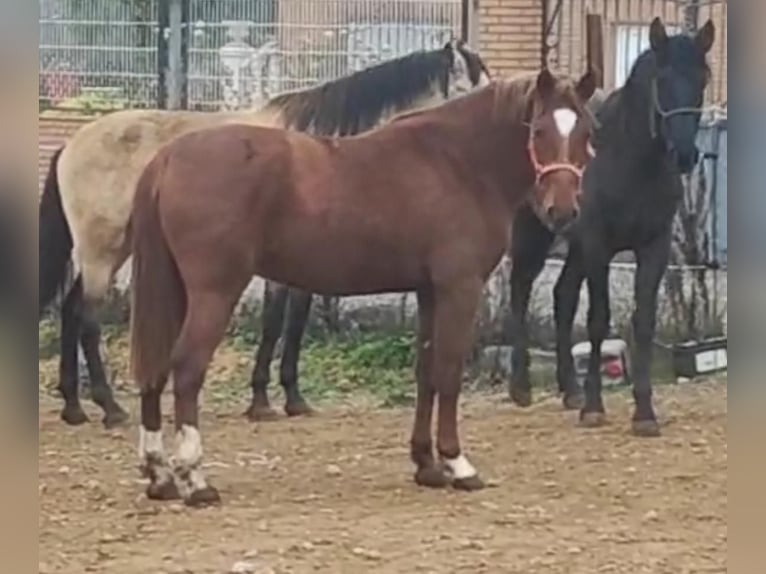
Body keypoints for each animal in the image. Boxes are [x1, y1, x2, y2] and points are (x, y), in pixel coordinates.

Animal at [129, 68, 600, 508]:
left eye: (587, 131)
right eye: (538, 130)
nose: (562, 211)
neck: (458, 163)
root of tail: (168, 157)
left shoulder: (429, 291)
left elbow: (426, 372)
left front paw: (426, 464)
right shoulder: (459, 287)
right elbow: (448, 372)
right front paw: (457, 463)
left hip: (174, 290)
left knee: (155, 367)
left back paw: (160, 475)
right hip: (215, 292)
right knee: (187, 369)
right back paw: (195, 479)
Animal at [510, 16, 720, 436]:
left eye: (702, 77)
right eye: (662, 78)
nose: (685, 154)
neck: (629, 160)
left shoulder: (653, 246)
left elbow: (643, 321)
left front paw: (644, 412)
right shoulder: (597, 243)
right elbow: (597, 320)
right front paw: (594, 408)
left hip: (573, 246)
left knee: (562, 297)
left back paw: (570, 390)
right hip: (536, 235)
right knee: (520, 290)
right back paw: (521, 387)